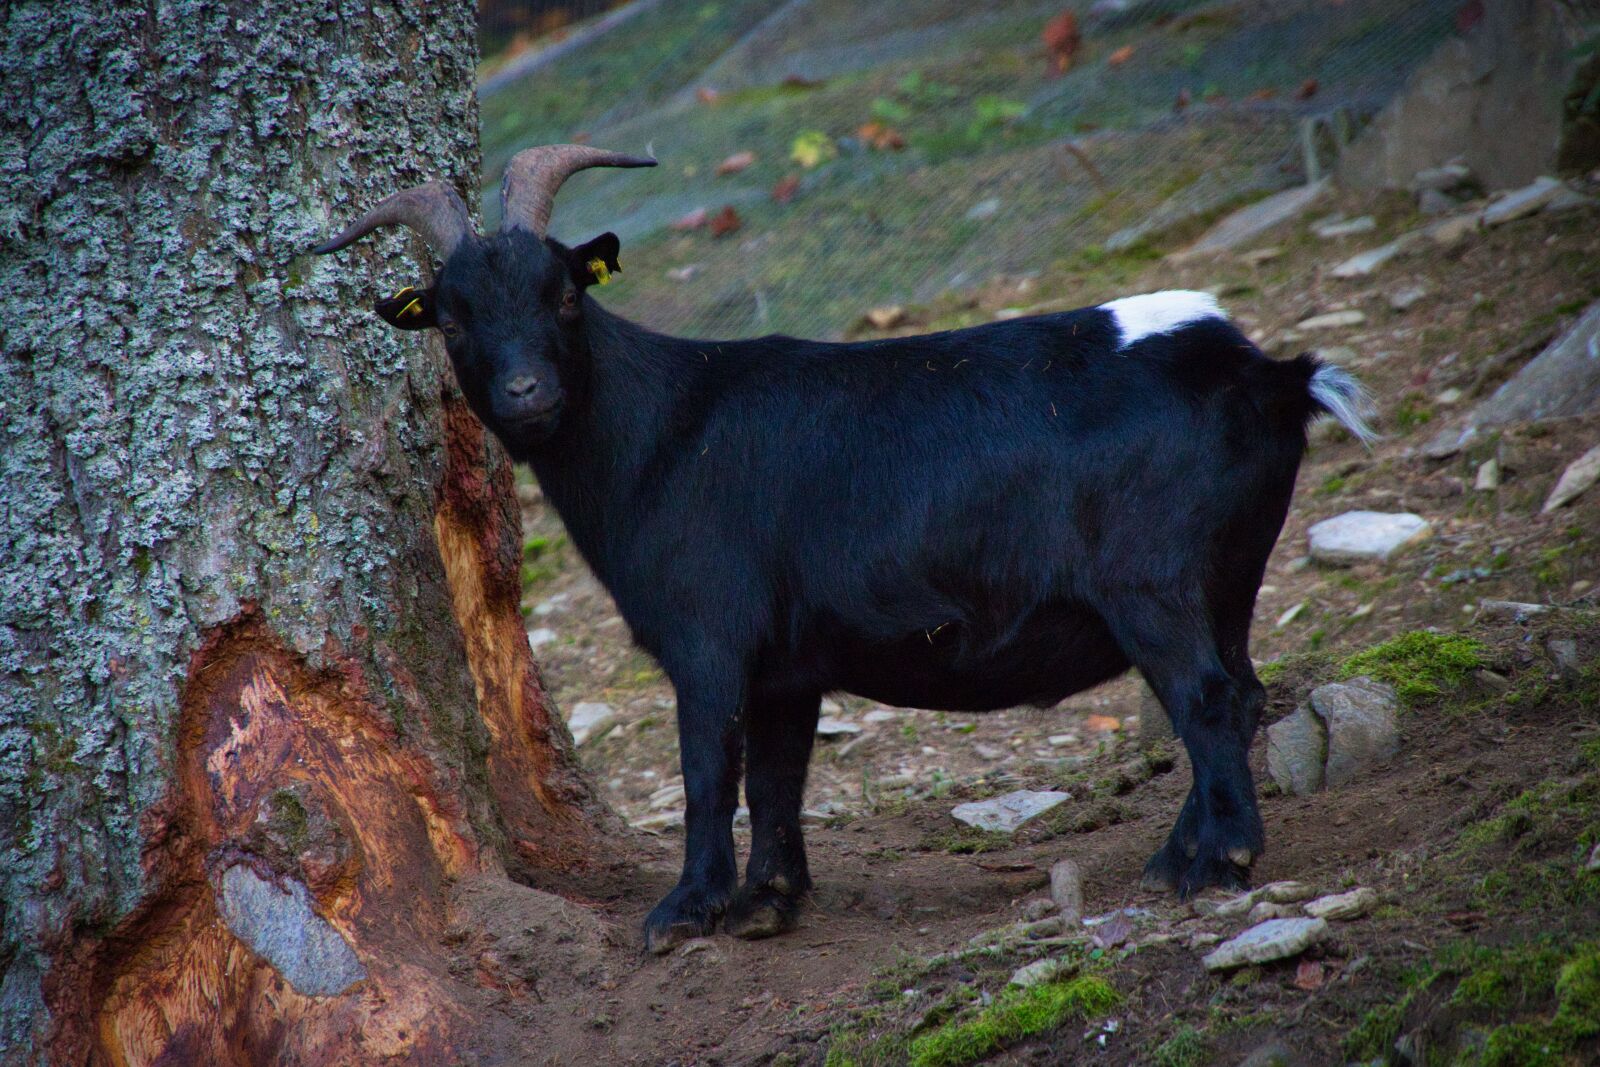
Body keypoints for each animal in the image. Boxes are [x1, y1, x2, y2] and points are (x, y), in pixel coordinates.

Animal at [315, 144, 1374, 954]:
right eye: (452, 317)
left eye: (566, 295)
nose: (527, 392)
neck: (668, 428)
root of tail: (1265, 372)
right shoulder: (788, 663)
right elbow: (778, 772)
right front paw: (767, 902)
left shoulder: (709, 639)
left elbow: (710, 770)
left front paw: (682, 911)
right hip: (1228, 573)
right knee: (1238, 686)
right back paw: (1175, 857)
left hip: (1152, 582)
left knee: (1207, 695)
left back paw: (1218, 861)